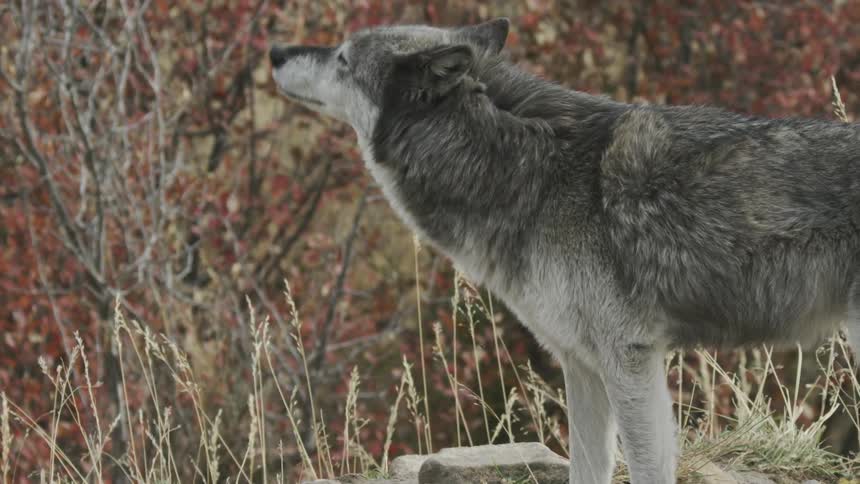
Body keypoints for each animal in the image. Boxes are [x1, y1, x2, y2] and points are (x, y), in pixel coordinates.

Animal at [270, 18, 860, 483]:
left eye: (342, 58)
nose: (275, 52)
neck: (525, 167)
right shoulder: (582, 365)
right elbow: (584, 469)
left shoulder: (629, 360)